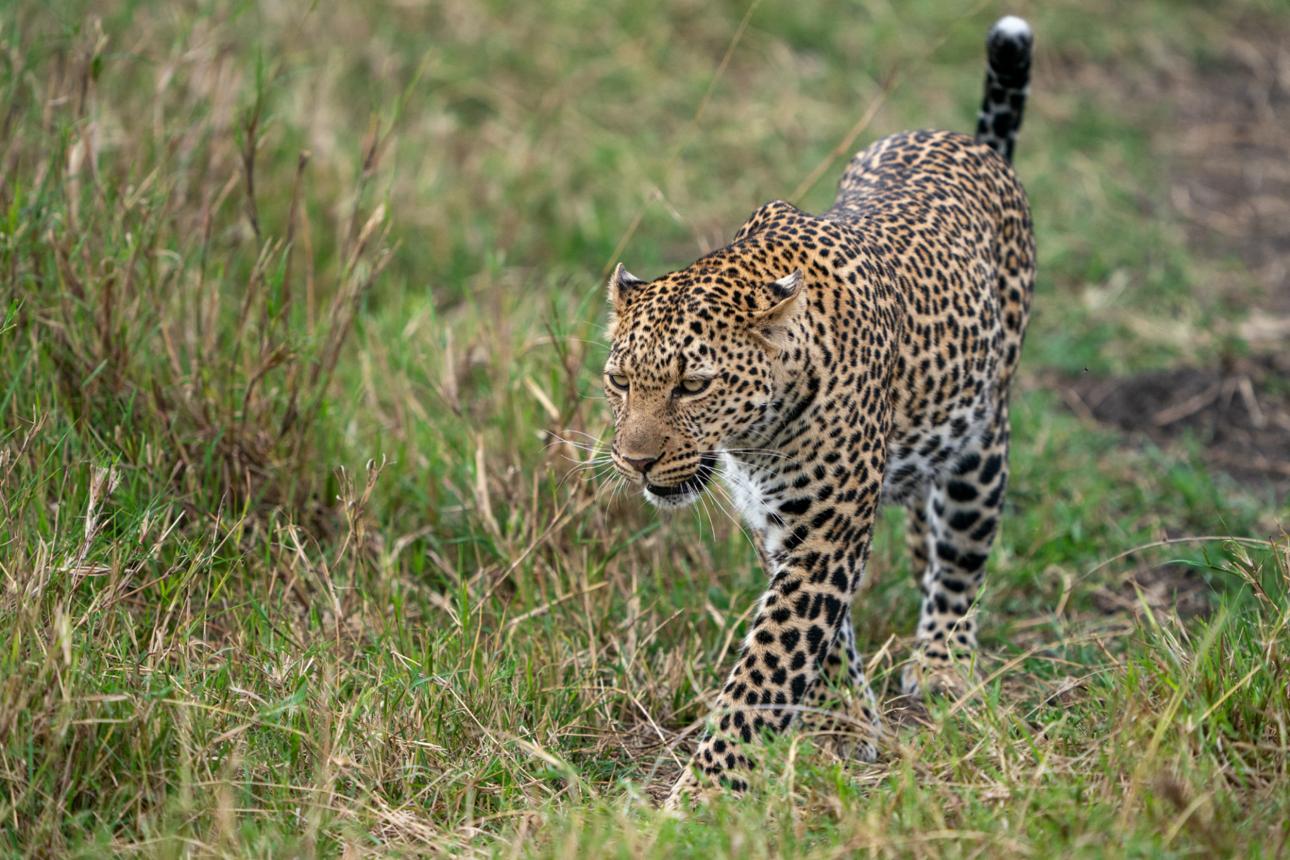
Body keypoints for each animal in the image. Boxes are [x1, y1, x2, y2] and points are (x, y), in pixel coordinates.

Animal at [599, 16, 1036, 805]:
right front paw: (843, 725)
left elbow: (764, 670)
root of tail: (971, 144)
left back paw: (945, 662)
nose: (634, 461)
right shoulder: (785, 528)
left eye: (692, 386)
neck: (754, 439)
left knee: (961, 556)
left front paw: (704, 795)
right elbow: (824, 644)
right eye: (620, 382)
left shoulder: (824, 536)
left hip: (982, 442)